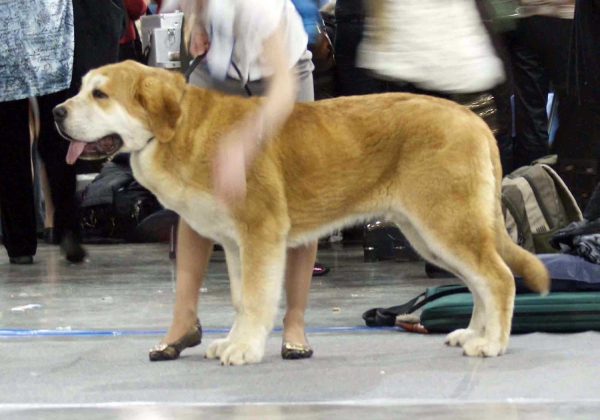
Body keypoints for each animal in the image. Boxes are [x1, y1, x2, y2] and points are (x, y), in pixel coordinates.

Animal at [55, 61, 548, 364]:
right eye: (81, 90)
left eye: (100, 94)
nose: (58, 111)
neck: (181, 130)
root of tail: (474, 120)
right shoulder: (235, 244)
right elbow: (241, 299)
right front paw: (234, 340)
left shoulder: (261, 234)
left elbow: (256, 298)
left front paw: (245, 350)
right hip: (430, 233)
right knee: (480, 282)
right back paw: (474, 334)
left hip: (446, 222)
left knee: (498, 278)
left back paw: (492, 345)